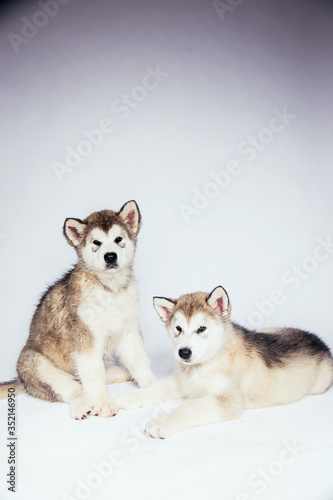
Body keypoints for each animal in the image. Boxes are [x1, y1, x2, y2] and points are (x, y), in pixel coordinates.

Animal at [0, 201, 155, 420]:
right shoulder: (85, 335)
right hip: (35, 363)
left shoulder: (128, 330)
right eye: (96, 242)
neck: (108, 289)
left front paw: (152, 387)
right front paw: (102, 402)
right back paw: (82, 404)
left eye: (118, 239)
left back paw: (121, 373)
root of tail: (21, 381)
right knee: (74, 387)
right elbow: (93, 372)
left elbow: (139, 360)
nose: (110, 256)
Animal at [115, 286, 332, 438]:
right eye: (178, 328)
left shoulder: (229, 400)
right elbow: (159, 386)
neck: (210, 359)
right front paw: (132, 396)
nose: (183, 352)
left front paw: (163, 422)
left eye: (201, 328)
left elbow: (189, 407)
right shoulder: (186, 382)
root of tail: (321, 343)